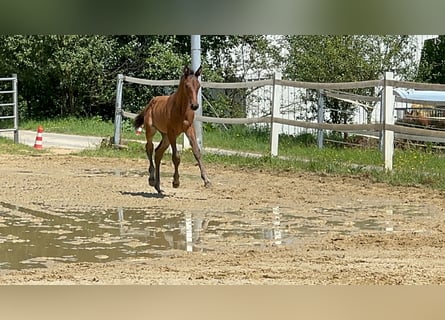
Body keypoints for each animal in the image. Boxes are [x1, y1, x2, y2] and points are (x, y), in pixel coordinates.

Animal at [133, 66, 211, 194]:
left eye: (198, 85)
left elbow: (197, 153)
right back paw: (152, 179)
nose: (195, 106)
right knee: (149, 148)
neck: (181, 109)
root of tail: (152, 101)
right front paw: (176, 182)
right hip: (152, 130)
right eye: (187, 85)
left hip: (165, 136)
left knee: (158, 152)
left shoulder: (189, 129)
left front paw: (207, 180)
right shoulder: (172, 131)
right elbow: (176, 157)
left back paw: (158, 186)